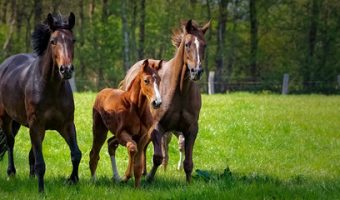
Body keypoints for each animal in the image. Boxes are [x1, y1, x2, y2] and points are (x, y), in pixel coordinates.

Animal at [0, 12, 81, 192]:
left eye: (73, 40)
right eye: (53, 41)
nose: (66, 69)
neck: (50, 88)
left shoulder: (66, 124)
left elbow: (76, 154)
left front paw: (73, 181)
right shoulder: (36, 125)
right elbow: (40, 163)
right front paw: (41, 191)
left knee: (30, 152)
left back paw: (30, 176)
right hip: (6, 118)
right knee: (10, 142)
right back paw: (11, 173)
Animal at [88, 59, 161, 188]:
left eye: (159, 80)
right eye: (146, 81)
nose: (156, 102)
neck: (136, 108)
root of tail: (102, 92)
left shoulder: (143, 137)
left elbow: (138, 164)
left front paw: (137, 187)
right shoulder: (122, 133)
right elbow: (132, 148)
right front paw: (125, 177)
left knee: (111, 144)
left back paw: (116, 177)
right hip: (99, 130)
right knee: (94, 153)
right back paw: (94, 180)